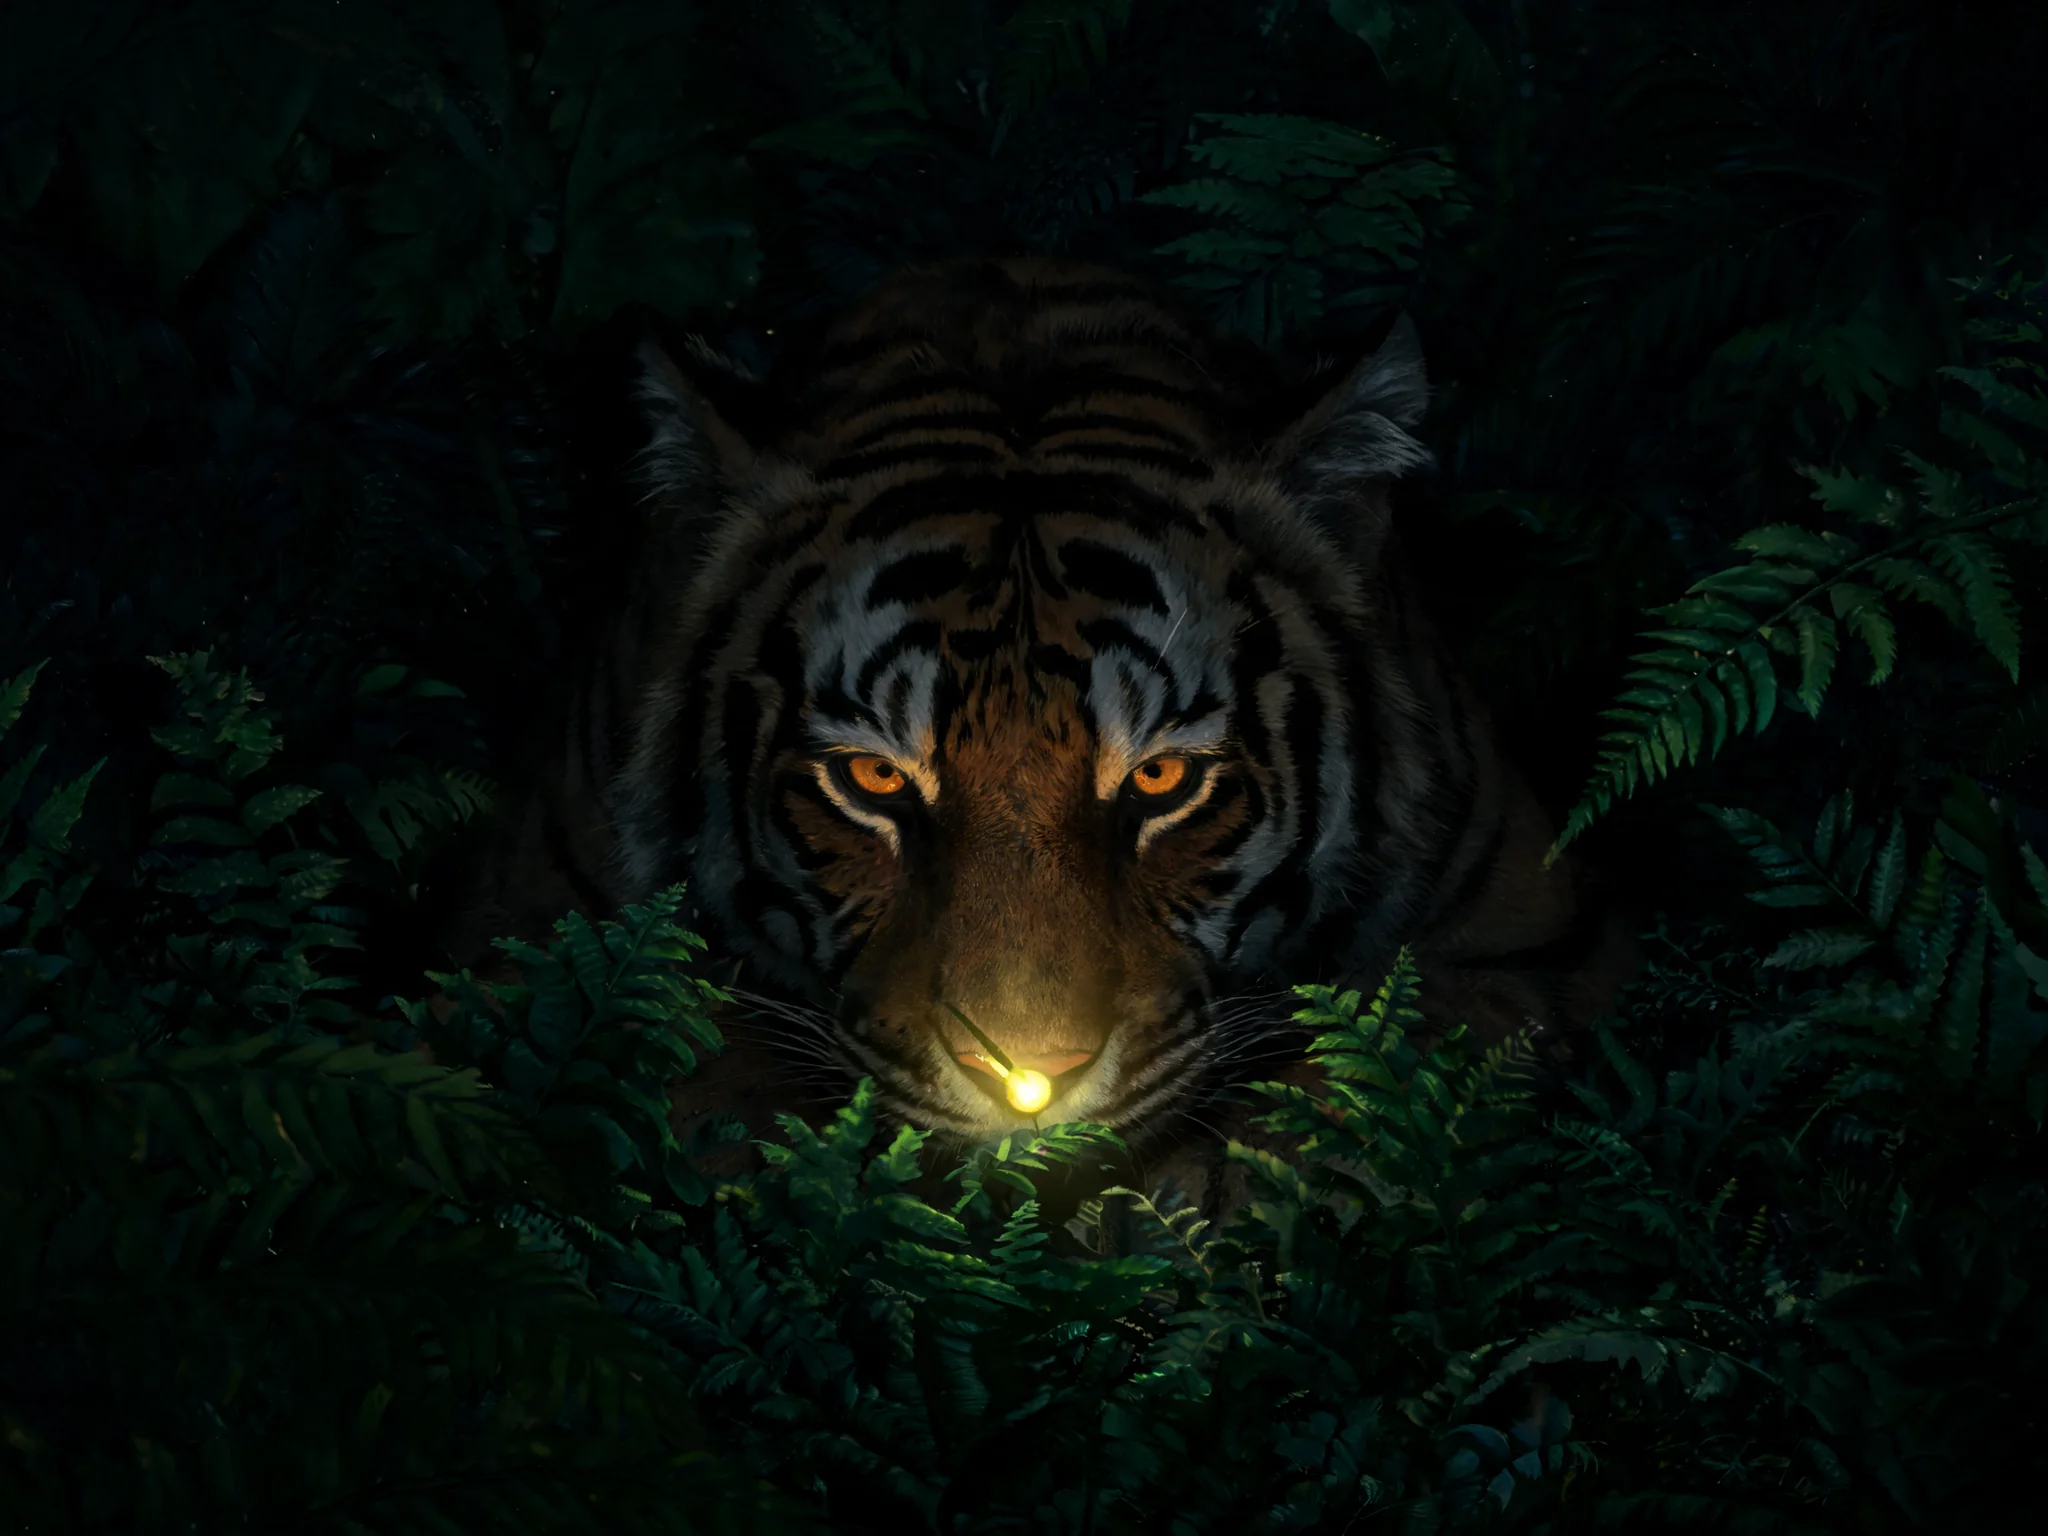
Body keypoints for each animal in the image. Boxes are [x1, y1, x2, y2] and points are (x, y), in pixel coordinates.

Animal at [453, 257, 1630, 1219]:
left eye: (1161, 779)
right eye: (871, 777)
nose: (1030, 1081)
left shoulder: (1522, 940)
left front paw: (1218, 1201)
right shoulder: (533, 925)